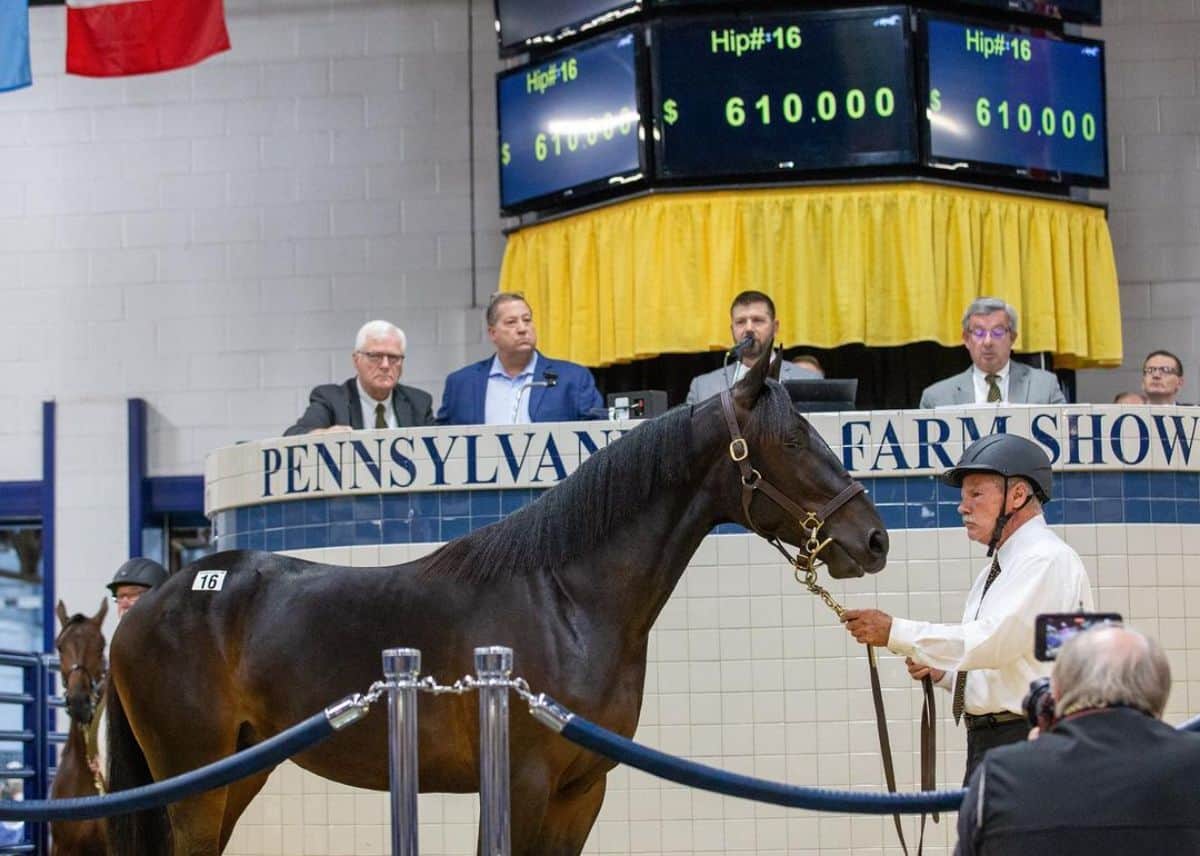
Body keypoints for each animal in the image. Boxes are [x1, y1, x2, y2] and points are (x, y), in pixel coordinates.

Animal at [108, 348, 888, 854]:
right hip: (194, 784)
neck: (566, 601)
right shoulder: (518, 784)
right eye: (795, 441)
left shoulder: (580, 794)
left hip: (240, 772)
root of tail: (150, 606)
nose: (874, 539)